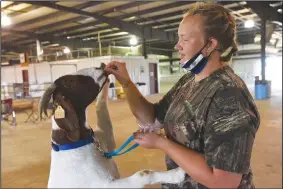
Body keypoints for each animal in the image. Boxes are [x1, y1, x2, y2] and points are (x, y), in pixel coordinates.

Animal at [40, 63, 186, 188]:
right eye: (70, 82)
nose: (100, 66)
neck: (77, 143)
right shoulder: (105, 185)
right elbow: (142, 174)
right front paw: (178, 173)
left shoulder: (106, 140)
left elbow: (101, 109)